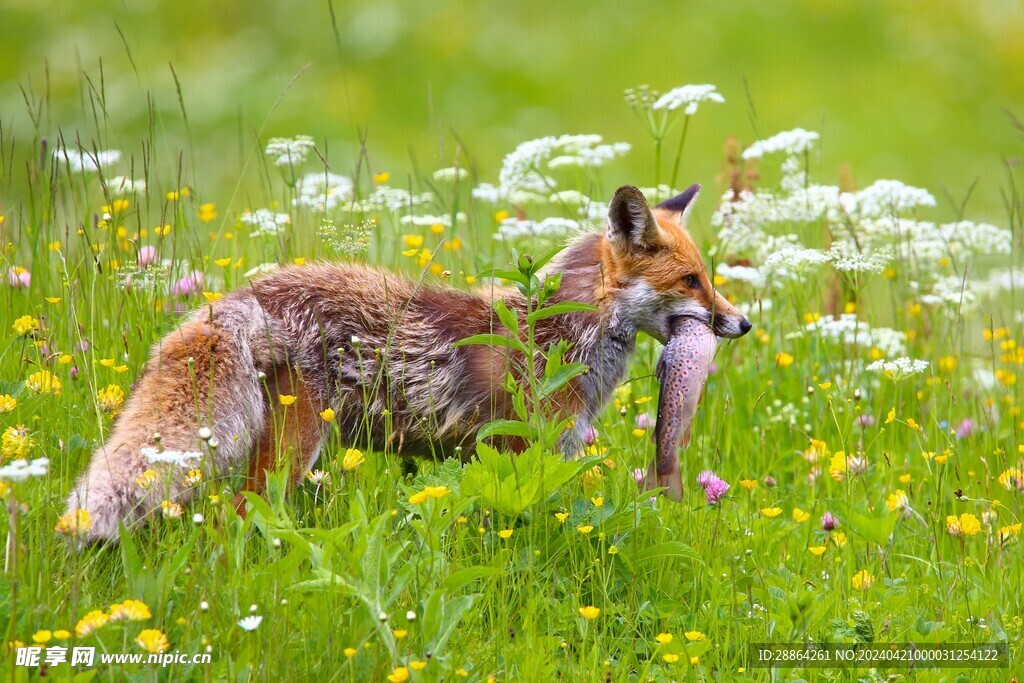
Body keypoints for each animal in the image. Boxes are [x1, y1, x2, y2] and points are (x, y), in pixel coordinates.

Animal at [66, 184, 753, 540]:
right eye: (692, 281)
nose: (742, 323)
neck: (560, 335)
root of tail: (246, 297)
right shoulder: (520, 451)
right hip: (293, 451)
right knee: (235, 518)